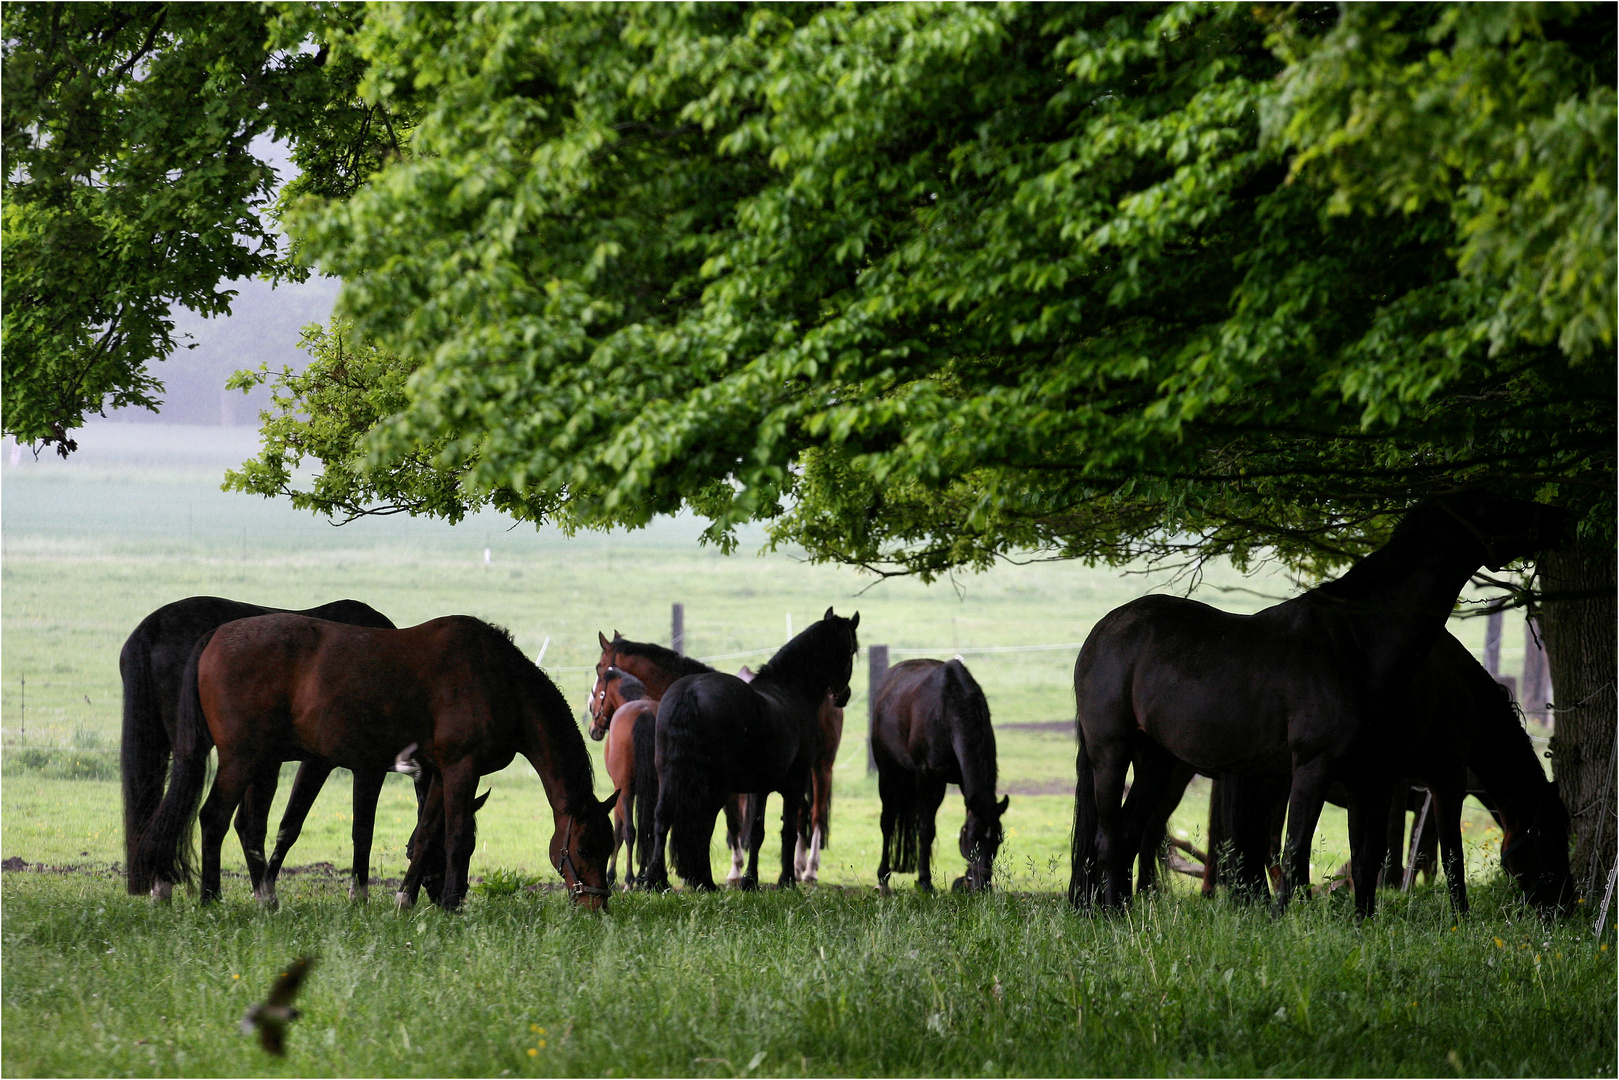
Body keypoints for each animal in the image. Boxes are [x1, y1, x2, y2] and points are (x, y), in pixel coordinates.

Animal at [134, 615, 618, 913]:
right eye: (583, 848)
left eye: (609, 847)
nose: (596, 905)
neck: (499, 680)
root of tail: (215, 637)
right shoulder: (461, 769)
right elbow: (456, 837)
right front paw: (450, 906)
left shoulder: (439, 774)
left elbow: (425, 837)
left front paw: (406, 901)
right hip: (241, 758)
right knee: (214, 818)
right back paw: (211, 899)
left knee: (241, 825)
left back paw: (264, 900)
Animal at [589, 670, 657, 893]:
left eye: (596, 694)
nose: (593, 729)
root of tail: (645, 712)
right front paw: (642, 875)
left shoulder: (618, 790)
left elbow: (618, 831)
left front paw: (611, 876)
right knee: (649, 829)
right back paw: (646, 878)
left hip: (626, 790)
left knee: (630, 831)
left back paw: (629, 878)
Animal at [637, 612, 861, 893]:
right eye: (850, 650)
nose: (844, 695)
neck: (790, 690)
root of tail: (690, 693)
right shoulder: (794, 783)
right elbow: (786, 830)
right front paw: (785, 879)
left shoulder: (760, 787)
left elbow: (756, 832)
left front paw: (751, 880)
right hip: (717, 786)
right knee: (704, 823)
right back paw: (704, 880)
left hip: (668, 774)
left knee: (663, 817)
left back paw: (658, 880)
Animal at [874, 660, 1010, 893]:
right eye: (972, 837)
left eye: (998, 839)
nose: (982, 885)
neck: (948, 710)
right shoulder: (928, 777)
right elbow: (926, 829)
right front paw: (925, 881)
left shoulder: (964, 783)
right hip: (888, 771)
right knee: (888, 822)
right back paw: (883, 878)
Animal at [1075, 495, 1567, 919]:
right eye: (1496, 504)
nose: (1560, 907)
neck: (1359, 643)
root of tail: (1101, 634)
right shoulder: (1327, 769)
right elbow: (1298, 852)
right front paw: (1279, 922)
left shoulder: (1371, 778)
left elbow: (1367, 860)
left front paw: (1363, 924)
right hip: (1113, 752)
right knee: (1110, 836)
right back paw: (1111, 917)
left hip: (1157, 760)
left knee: (1130, 832)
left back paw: (1124, 914)